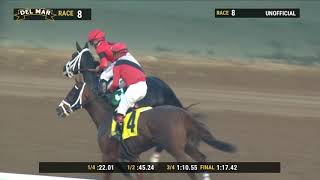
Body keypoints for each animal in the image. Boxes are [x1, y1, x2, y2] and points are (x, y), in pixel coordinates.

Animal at [55, 77, 235, 180]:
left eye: (72, 94)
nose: (58, 110)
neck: (106, 117)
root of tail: (184, 115)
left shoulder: (107, 156)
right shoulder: (132, 156)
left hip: (175, 149)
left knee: (191, 170)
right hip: (187, 145)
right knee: (202, 158)